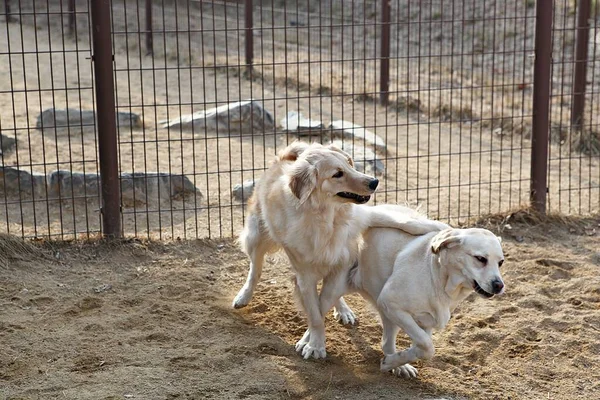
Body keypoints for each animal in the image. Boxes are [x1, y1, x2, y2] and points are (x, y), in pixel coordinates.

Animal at [232, 143, 448, 360]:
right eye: (337, 174)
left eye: (349, 164)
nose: (375, 182)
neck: (328, 218)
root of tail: (283, 159)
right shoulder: (305, 275)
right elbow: (316, 313)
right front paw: (315, 344)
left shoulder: (359, 226)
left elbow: (403, 222)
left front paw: (438, 227)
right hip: (256, 238)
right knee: (255, 270)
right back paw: (243, 296)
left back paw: (344, 310)